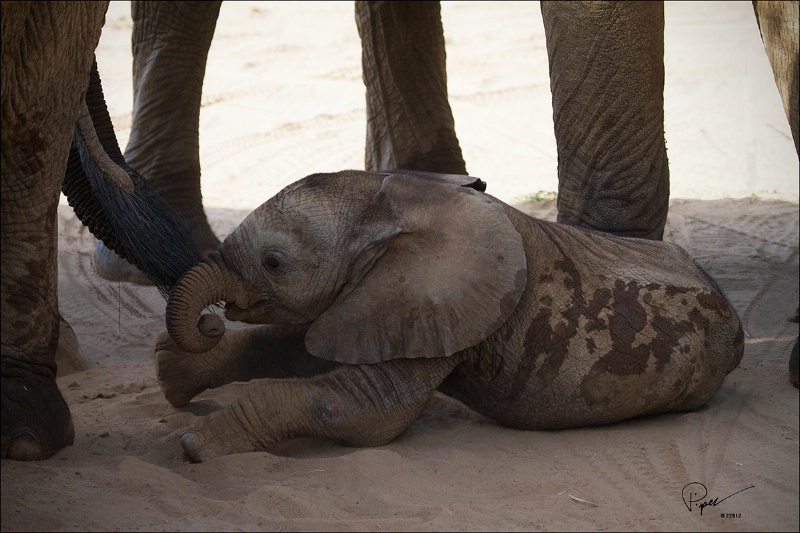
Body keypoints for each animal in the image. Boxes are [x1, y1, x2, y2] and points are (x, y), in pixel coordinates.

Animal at [156, 170, 744, 462]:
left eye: (273, 263)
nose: (209, 321)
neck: (400, 200)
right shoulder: (386, 298)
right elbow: (296, 346)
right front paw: (171, 374)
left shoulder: (443, 307)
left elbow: (365, 411)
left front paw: (194, 447)